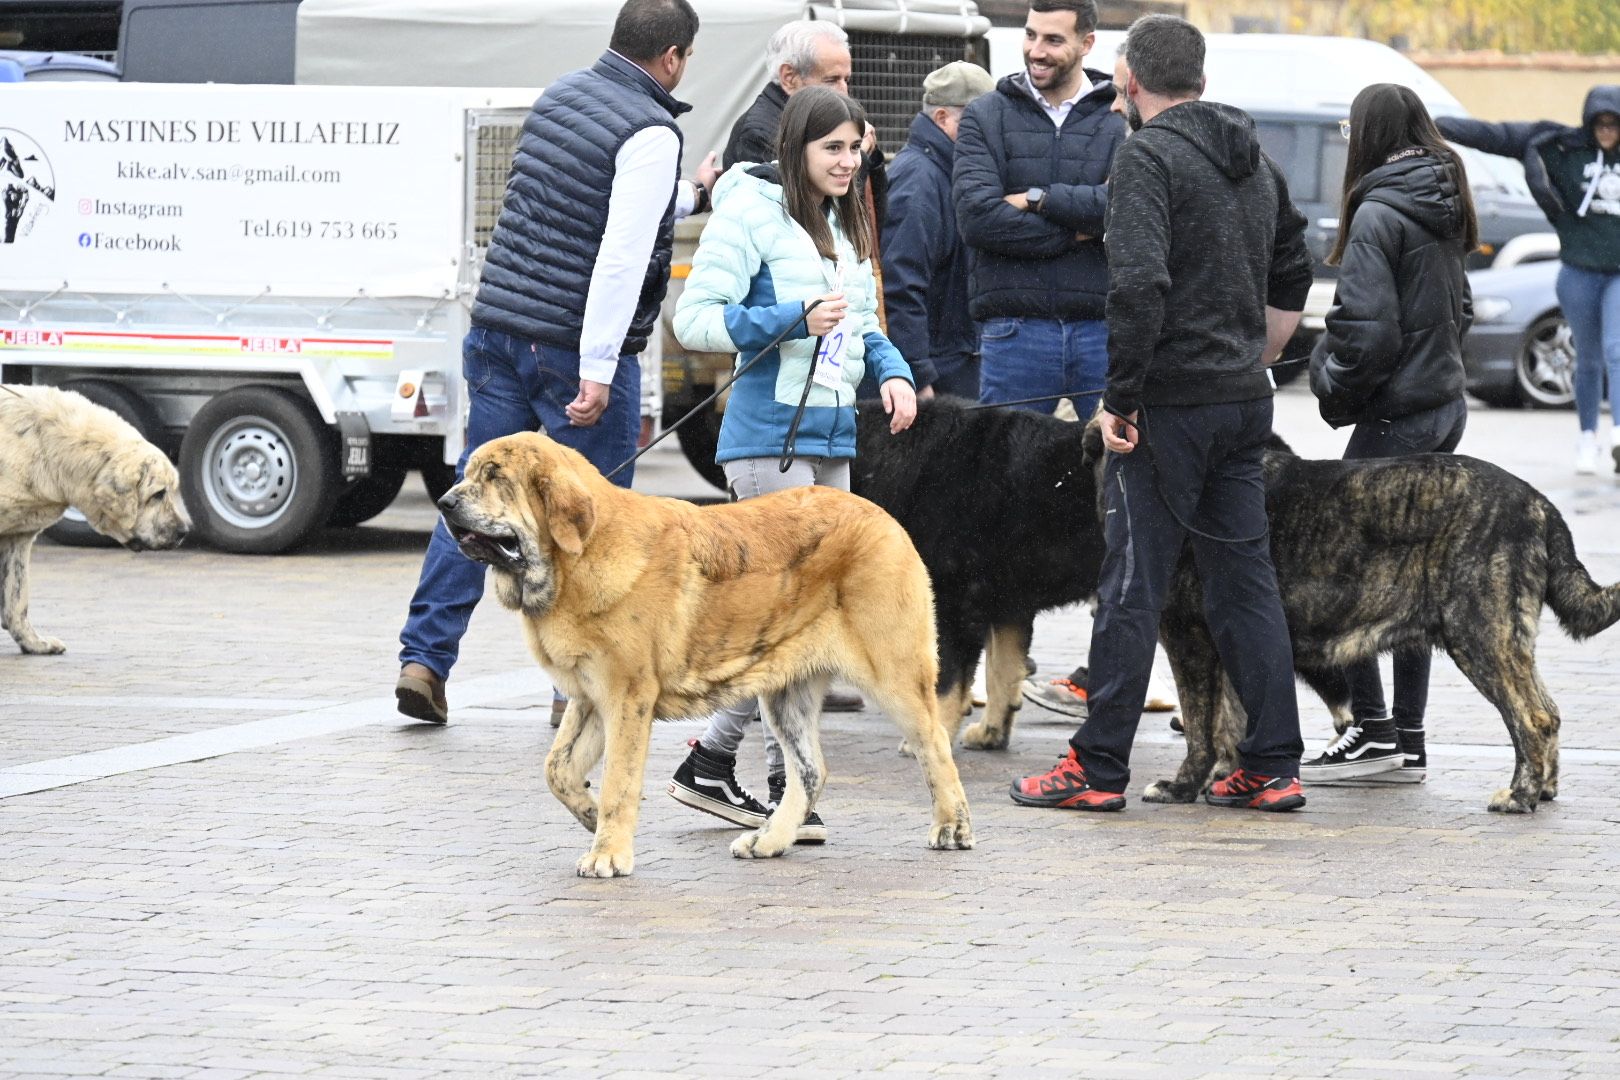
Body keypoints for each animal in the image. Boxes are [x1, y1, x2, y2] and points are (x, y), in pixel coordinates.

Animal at [0, 383, 191, 654]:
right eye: (158, 494)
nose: (184, 532)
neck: (47, 447)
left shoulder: (18, 536)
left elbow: (16, 599)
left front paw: (35, 643)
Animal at [434, 430, 972, 880]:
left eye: (495, 477)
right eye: (470, 472)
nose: (443, 501)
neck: (577, 559)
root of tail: (881, 516)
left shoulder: (626, 698)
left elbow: (618, 782)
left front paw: (608, 852)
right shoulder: (589, 698)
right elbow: (558, 770)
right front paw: (588, 815)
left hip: (894, 674)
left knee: (934, 744)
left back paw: (952, 827)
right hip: (785, 694)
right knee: (810, 770)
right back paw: (769, 841)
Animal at [855, 395, 1613, 809]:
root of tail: (1539, 505)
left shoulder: (1185, 635)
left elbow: (1199, 721)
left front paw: (1185, 783)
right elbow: (1225, 719)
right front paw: (1230, 777)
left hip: (1477, 631)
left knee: (1532, 718)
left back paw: (1521, 794)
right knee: (1542, 714)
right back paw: (1540, 788)